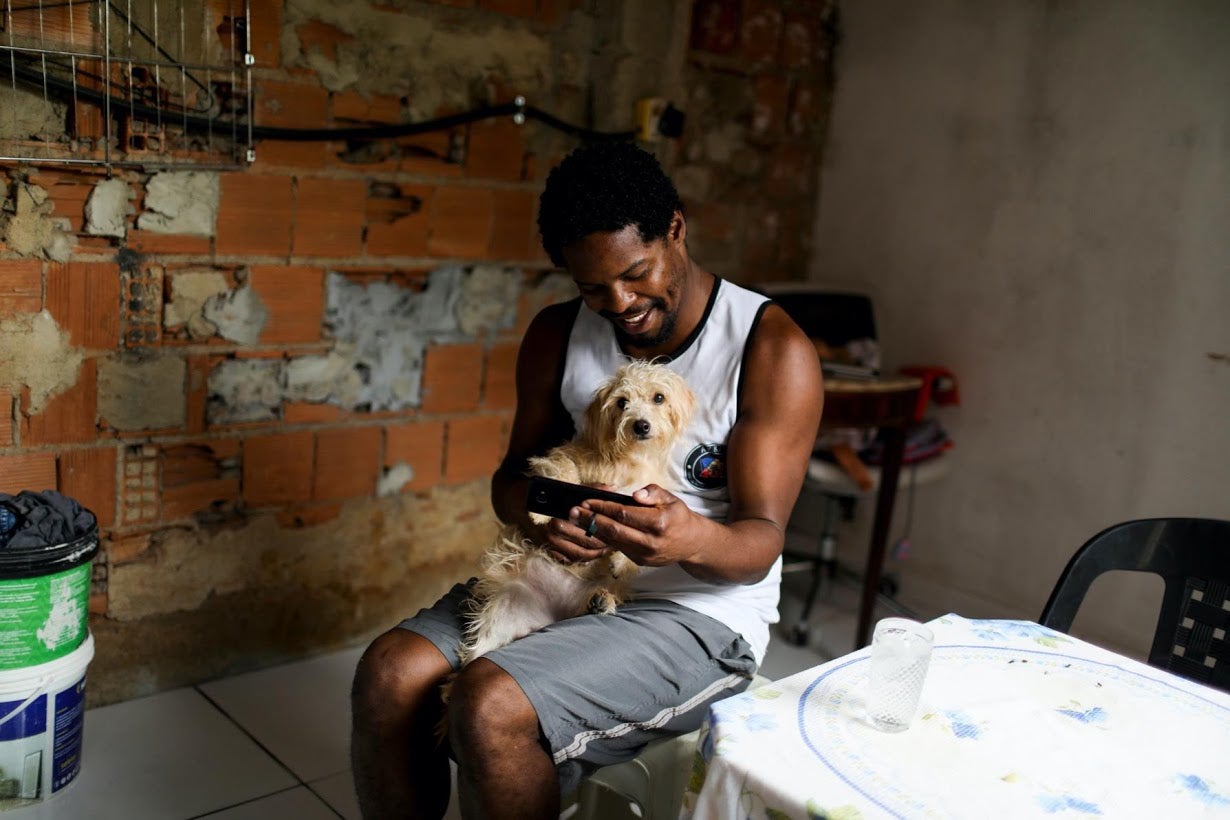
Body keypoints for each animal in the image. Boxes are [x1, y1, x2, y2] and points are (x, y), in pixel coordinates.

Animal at [457, 361, 698, 668]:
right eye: (622, 403)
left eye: (659, 397)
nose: (641, 425)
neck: (628, 461)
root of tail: (548, 613)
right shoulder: (562, 457)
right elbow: (564, 471)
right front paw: (541, 514)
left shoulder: (648, 503)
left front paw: (621, 561)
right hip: (500, 613)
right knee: (472, 657)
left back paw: (601, 601)